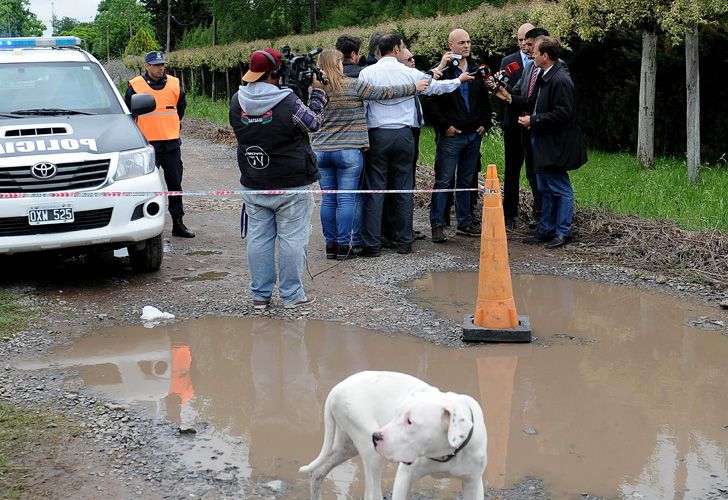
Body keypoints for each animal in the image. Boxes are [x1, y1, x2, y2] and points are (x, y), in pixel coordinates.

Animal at [298, 370, 486, 498]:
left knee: (317, 474)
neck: (447, 453)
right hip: (371, 453)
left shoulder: (473, 484)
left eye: (410, 421)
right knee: (371, 494)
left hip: (346, 447)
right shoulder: (404, 477)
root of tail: (335, 389)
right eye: (397, 414)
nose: (376, 436)